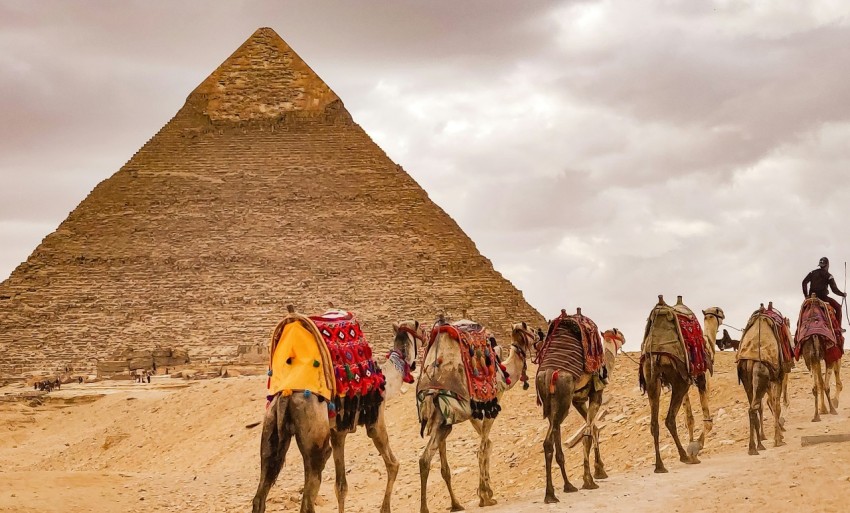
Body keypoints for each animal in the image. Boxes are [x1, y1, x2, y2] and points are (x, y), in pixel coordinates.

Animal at [252, 306, 405, 513]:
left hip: (269, 429)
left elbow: (341, 485)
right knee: (308, 497)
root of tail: (286, 393)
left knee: (261, 492)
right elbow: (392, 463)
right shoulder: (375, 417)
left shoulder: (338, 430)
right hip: (315, 442)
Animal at [416, 318, 534, 513]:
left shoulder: (473, 413)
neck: (504, 372)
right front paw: (485, 496)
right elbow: (483, 447)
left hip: (442, 422)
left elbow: (488, 444)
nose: (540, 334)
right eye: (530, 330)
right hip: (443, 418)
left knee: (427, 460)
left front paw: (486, 492)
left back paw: (452, 505)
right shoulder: (493, 402)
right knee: (429, 458)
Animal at [536, 308, 609, 504]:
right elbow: (588, 433)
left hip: (553, 404)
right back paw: (556, 491)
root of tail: (549, 374)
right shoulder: (596, 393)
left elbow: (594, 429)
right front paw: (590, 479)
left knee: (549, 442)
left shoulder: (577, 400)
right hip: (562, 403)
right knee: (552, 439)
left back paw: (558, 490)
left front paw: (599, 470)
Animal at [640, 296, 717, 473]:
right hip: (679, 382)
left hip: (652, 378)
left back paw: (660, 465)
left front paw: (693, 447)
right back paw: (684, 457)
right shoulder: (702, 379)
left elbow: (689, 418)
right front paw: (696, 448)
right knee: (669, 419)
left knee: (655, 423)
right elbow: (706, 420)